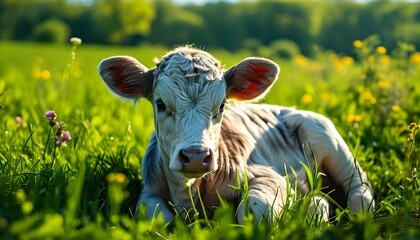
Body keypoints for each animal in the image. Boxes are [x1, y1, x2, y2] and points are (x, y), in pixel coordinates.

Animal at [98, 47, 374, 223]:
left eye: (221, 106)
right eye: (160, 104)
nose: (196, 155)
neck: (190, 193)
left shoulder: (269, 177)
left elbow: (255, 210)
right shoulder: (149, 190)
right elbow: (157, 216)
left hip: (328, 140)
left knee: (359, 186)